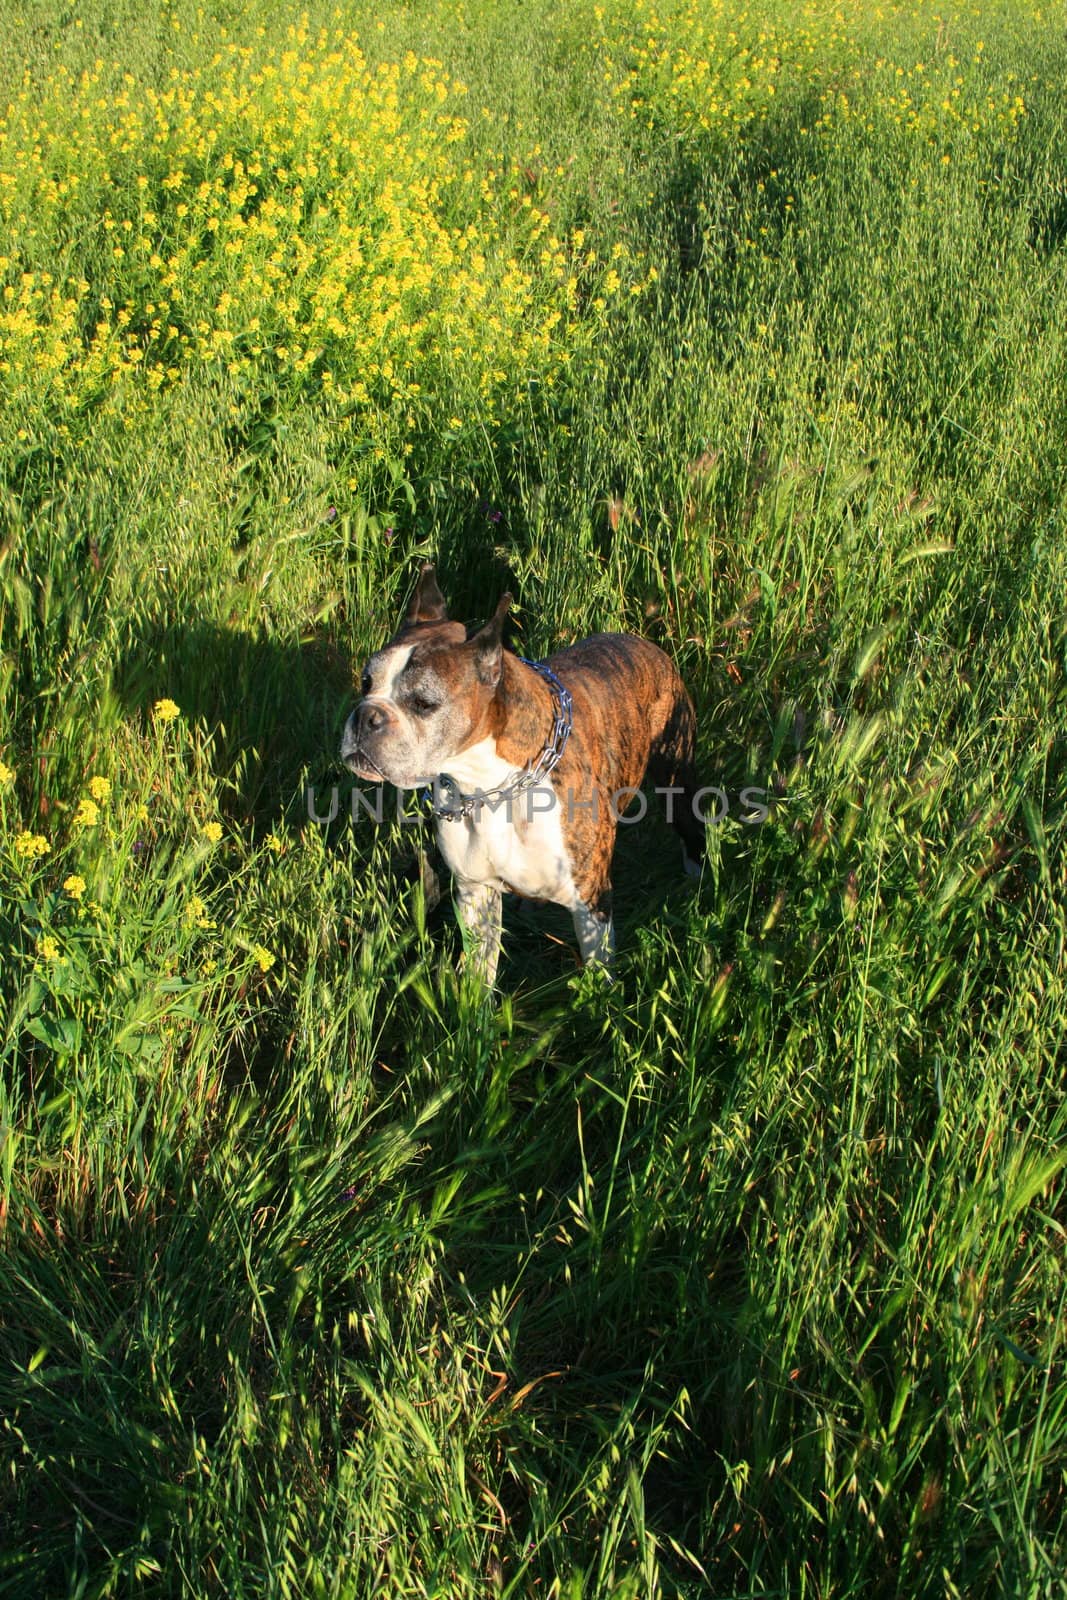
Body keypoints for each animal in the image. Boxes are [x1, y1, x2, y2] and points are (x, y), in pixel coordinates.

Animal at [342, 563, 703, 985]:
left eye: (423, 703)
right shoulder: (476, 895)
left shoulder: (591, 903)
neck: (486, 784)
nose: (366, 716)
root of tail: (643, 643)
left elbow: (598, 978)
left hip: (676, 777)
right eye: (366, 682)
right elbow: (479, 974)